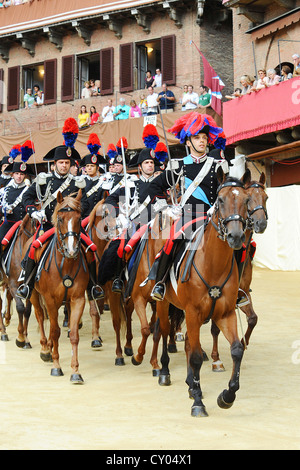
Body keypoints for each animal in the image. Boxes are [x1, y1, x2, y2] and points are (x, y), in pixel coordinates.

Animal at [0, 215, 36, 346]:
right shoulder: (13, 285)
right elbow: (20, 307)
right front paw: (20, 337)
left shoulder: (29, 288)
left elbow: (27, 311)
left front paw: (26, 339)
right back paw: (3, 332)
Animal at [29, 189, 89, 384]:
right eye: (61, 219)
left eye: (79, 218)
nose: (72, 250)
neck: (66, 264)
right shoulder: (49, 299)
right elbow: (55, 331)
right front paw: (56, 365)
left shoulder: (78, 299)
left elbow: (74, 334)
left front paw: (75, 371)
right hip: (34, 295)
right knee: (41, 317)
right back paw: (45, 349)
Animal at [152, 167, 251, 416]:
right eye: (221, 200)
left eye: (246, 200)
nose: (236, 236)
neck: (213, 264)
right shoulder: (193, 312)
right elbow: (196, 356)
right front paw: (198, 401)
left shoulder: (224, 314)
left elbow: (237, 350)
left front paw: (227, 396)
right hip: (164, 304)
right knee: (164, 332)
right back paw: (165, 373)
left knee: (187, 341)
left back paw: (189, 383)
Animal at [210, 169, 268, 370]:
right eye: (249, 198)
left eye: (266, 197)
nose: (261, 224)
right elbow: (214, 328)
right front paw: (216, 359)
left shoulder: (242, 294)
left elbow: (253, 318)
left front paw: (243, 342)